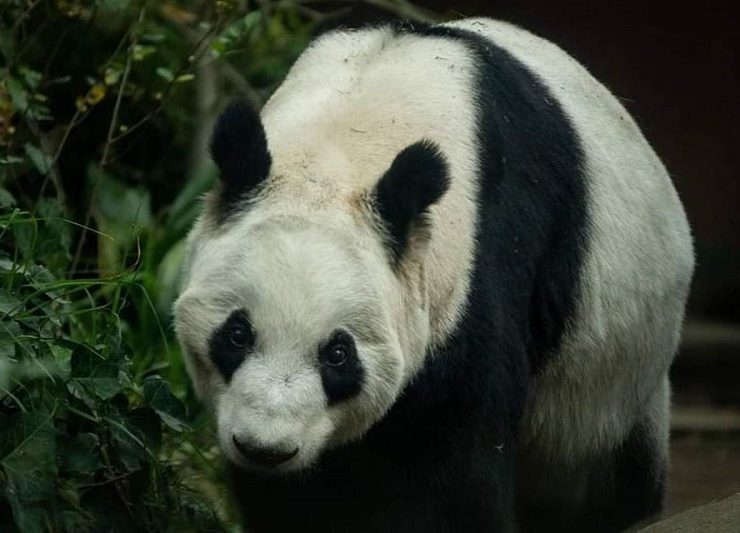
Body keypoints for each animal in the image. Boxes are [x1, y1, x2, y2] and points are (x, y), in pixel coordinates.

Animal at [173, 17, 694, 533]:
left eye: (338, 354)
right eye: (237, 333)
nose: (265, 448)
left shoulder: (482, 259)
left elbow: (452, 473)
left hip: (613, 388)